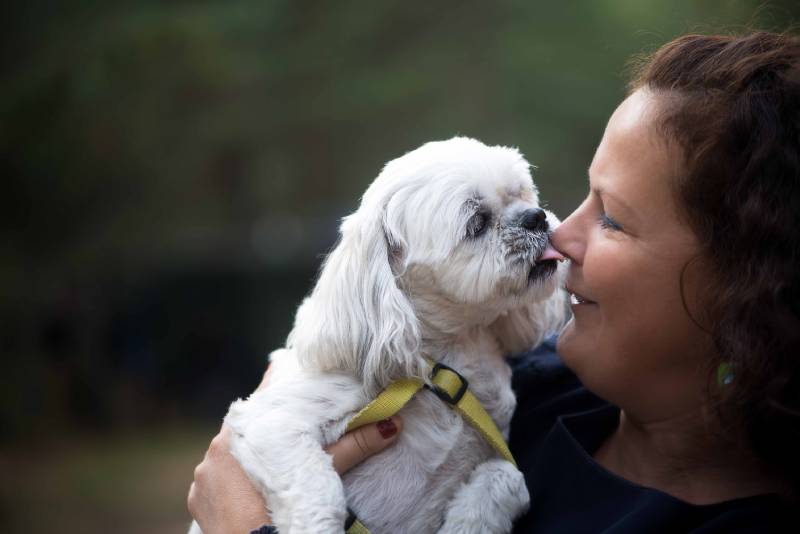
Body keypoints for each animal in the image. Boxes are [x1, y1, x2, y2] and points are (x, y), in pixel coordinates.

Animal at [191, 137, 568, 534]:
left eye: (521, 194)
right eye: (477, 223)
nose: (536, 217)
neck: (441, 364)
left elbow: (509, 477)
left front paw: (467, 520)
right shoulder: (271, 423)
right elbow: (318, 491)